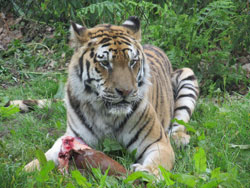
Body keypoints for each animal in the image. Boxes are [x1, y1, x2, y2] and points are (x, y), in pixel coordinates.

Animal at [12, 16, 199, 176]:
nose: (126, 91)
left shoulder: (158, 142)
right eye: (105, 63)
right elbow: (46, 156)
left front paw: (147, 173)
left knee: (181, 120)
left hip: (188, 76)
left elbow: (157, 163)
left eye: (132, 62)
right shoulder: (73, 137)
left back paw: (179, 138)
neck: (105, 113)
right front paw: (24, 171)